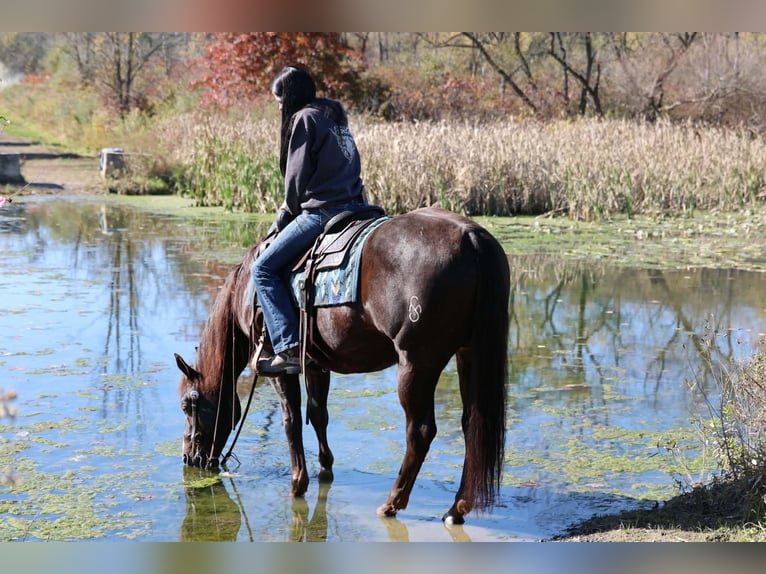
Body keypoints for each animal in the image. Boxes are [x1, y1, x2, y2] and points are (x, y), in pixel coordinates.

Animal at [174, 206, 510, 524]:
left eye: (188, 404)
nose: (189, 458)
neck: (245, 291)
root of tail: (471, 237)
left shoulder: (277, 366)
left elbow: (291, 420)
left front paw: (298, 483)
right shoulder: (316, 365)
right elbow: (318, 415)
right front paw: (325, 469)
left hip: (416, 363)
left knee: (420, 432)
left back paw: (392, 503)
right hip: (468, 354)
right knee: (472, 425)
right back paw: (456, 508)